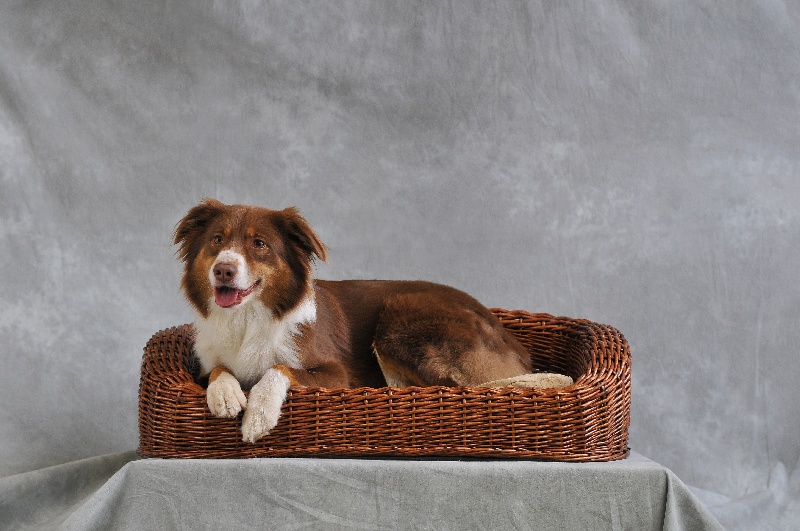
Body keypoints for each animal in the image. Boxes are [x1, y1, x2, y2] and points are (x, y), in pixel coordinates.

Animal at [174, 198, 569, 443]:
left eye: (259, 244)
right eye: (216, 240)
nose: (223, 270)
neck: (247, 320)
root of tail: (511, 339)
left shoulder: (337, 373)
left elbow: (278, 368)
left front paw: (258, 415)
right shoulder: (205, 364)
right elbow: (218, 369)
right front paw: (225, 393)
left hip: (400, 315)